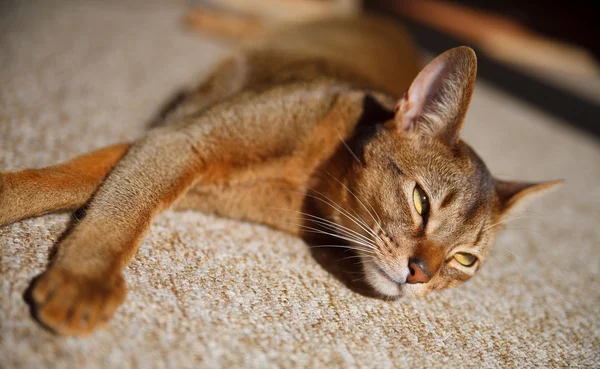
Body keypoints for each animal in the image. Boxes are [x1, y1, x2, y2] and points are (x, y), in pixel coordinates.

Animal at [0, 15, 564, 334]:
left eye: (465, 260)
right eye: (421, 201)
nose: (420, 274)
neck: (305, 180)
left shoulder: (166, 148)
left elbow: (70, 185)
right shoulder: (180, 140)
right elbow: (118, 213)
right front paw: (84, 282)